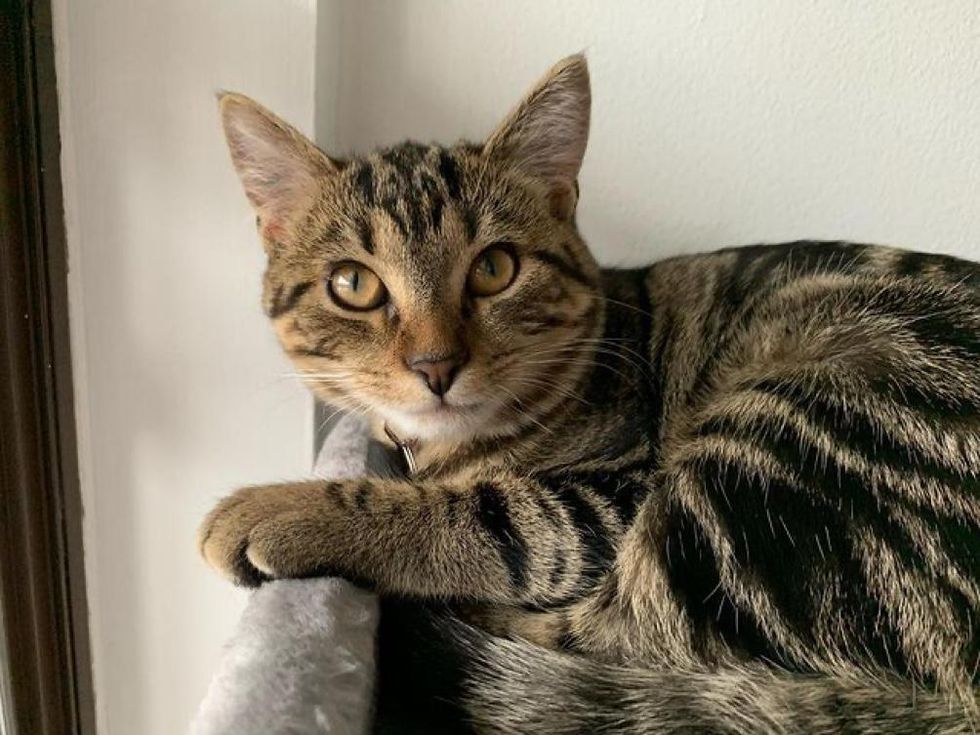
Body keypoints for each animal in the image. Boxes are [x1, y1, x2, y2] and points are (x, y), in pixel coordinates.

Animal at [203, 54, 980, 732]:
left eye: (494, 268)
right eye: (353, 284)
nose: (435, 364)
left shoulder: (611, 499)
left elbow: (489, 515)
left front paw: (279, 506)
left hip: (794, 427)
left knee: (623, 640)